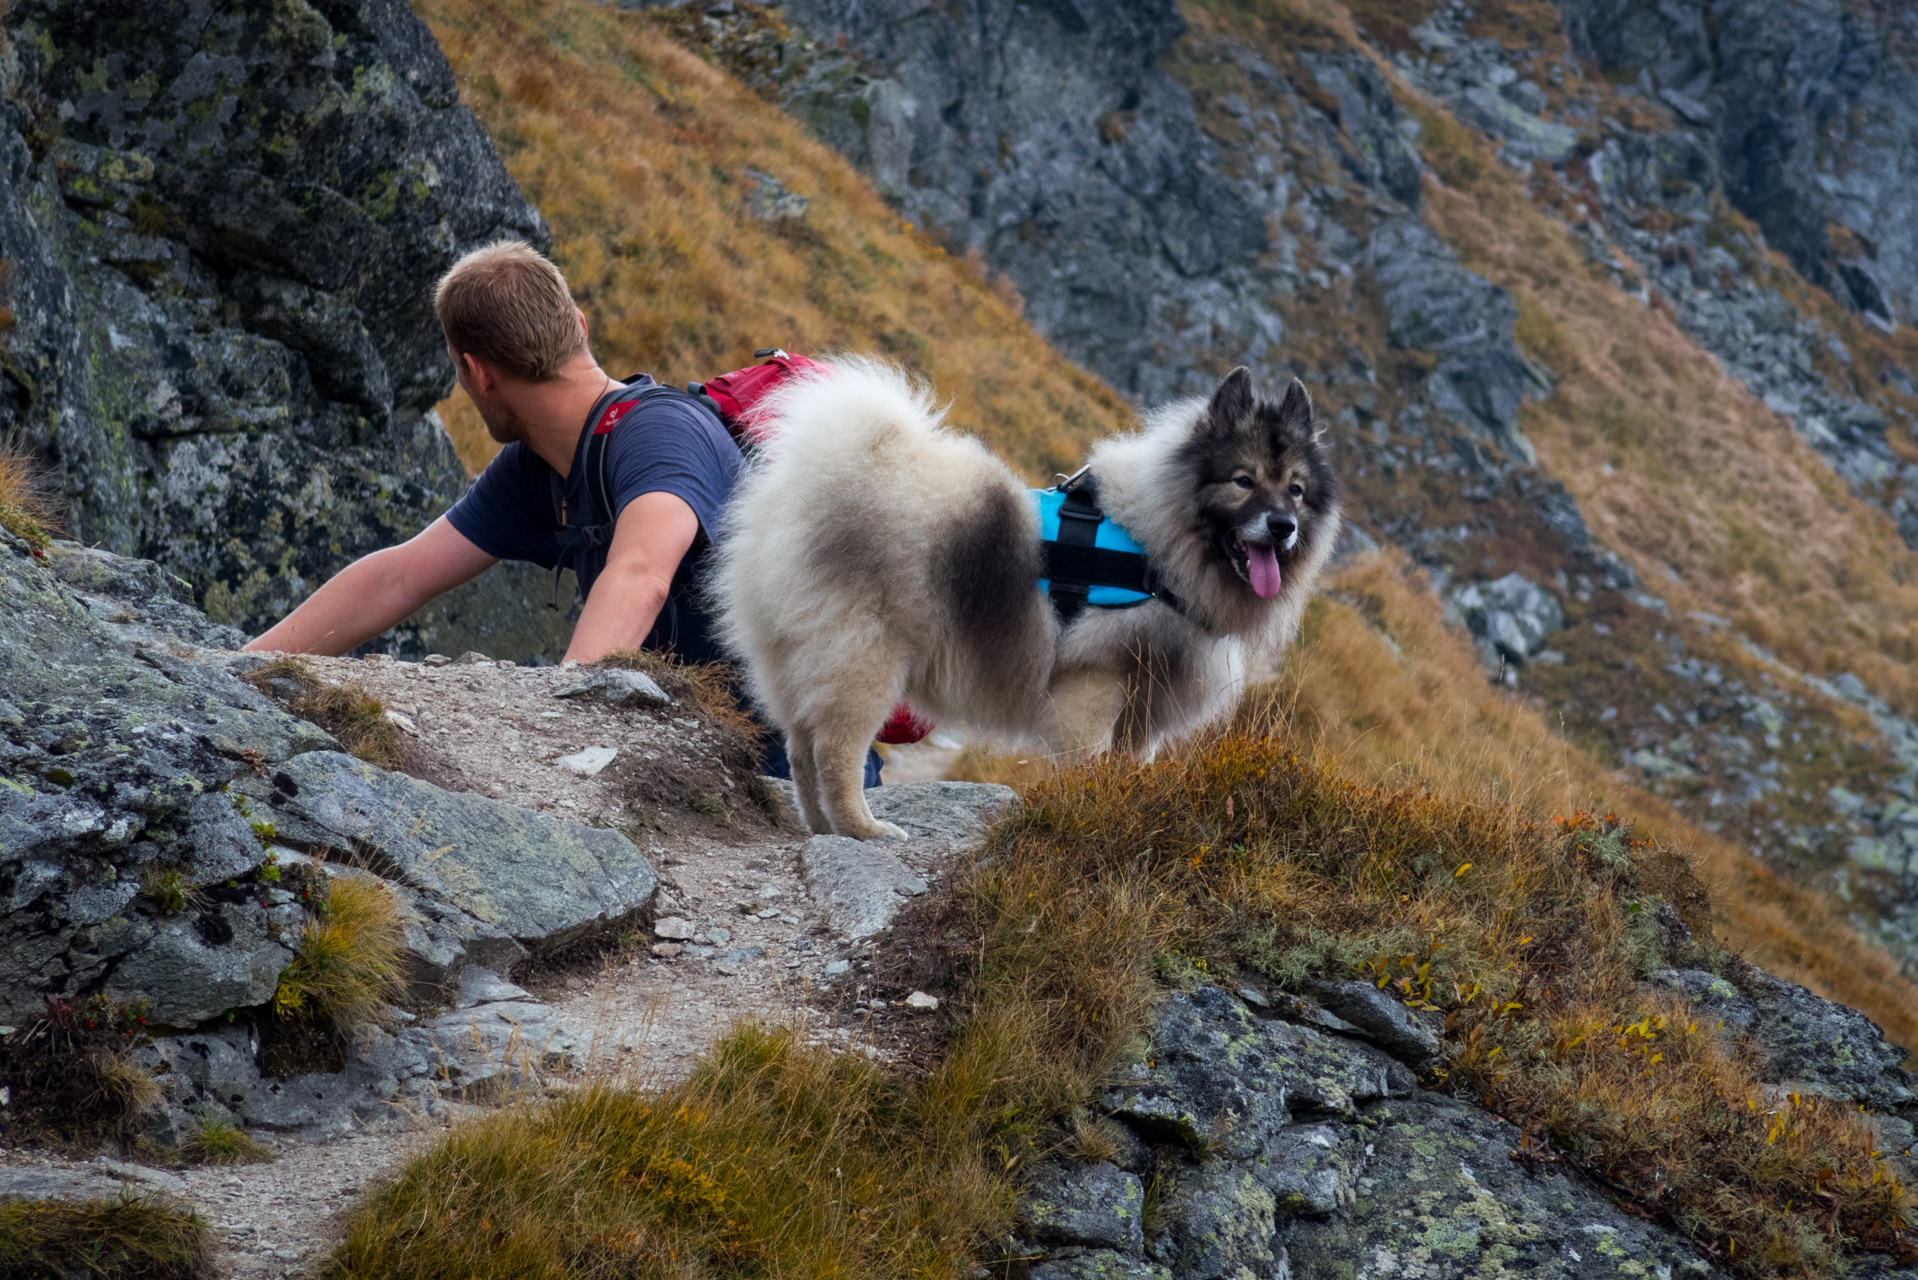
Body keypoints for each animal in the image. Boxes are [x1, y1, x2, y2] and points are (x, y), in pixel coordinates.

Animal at [713, 360, 1342, 840]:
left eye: (1295, 490)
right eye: (1243, 481)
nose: (1282, 526)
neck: (1157, 543)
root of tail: (813, 479)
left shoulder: (1142, 710)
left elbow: (1126, 767)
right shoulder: (1093, 682)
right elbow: (1087, 762)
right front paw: (1089, 813)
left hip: (801, 659)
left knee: (799, 748)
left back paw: (822, 828)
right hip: (866, 660)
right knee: (834, 752)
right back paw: (864, 830)